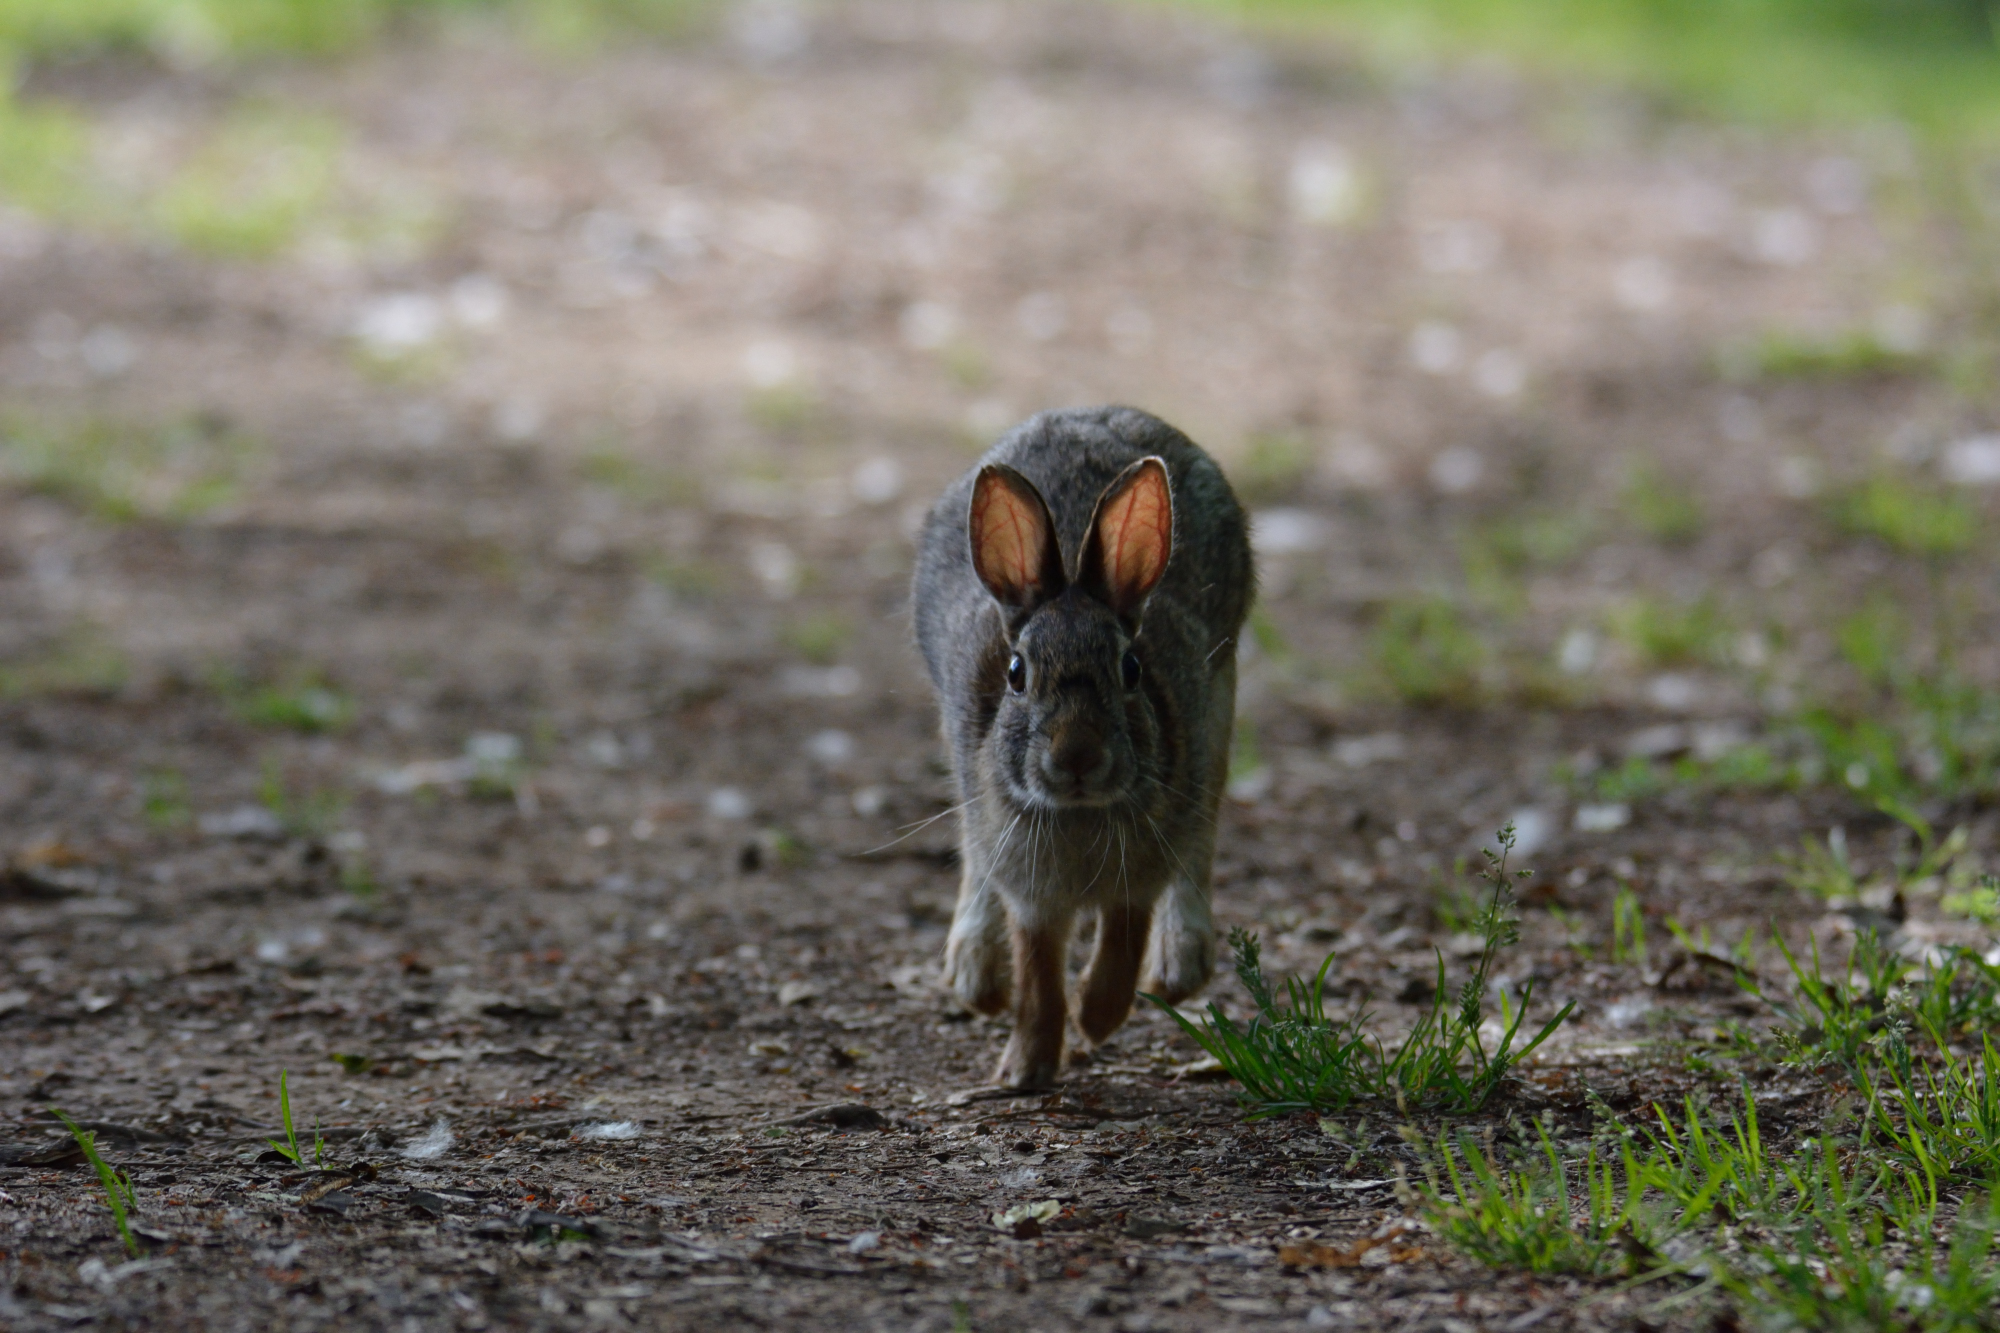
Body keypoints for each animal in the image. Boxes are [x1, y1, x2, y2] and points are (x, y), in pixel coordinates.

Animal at [912, 405, 1253, 1088]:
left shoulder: (1140, 871)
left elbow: (1122, 943)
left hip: (1219, 703)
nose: (1077, 757)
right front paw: (1025, 1069)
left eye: (1130, 669)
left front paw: (1095, 1020)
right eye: (1017, 673)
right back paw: (977, 977)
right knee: (973, 860)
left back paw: (1180, 967)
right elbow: (1040, 970)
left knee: (1201, 847)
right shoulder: (1031, 889)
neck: (1078, 813)